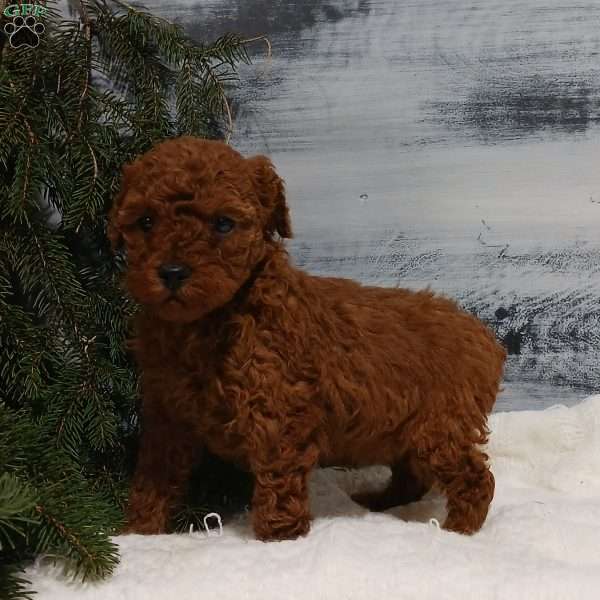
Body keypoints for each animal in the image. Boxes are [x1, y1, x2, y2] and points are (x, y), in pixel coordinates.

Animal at [109, 136, 506, 540]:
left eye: (223, 224)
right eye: (145, 221)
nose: (172, 272)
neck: (204, 322)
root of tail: (483, 335)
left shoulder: (277, 412)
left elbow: (278, 486)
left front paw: (278, 538)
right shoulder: (166, 415)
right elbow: (154, 478)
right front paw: (139, 531)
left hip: (440, 425)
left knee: (475, 478)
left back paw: (457, 531)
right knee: (413, 476)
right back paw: (379, 503)